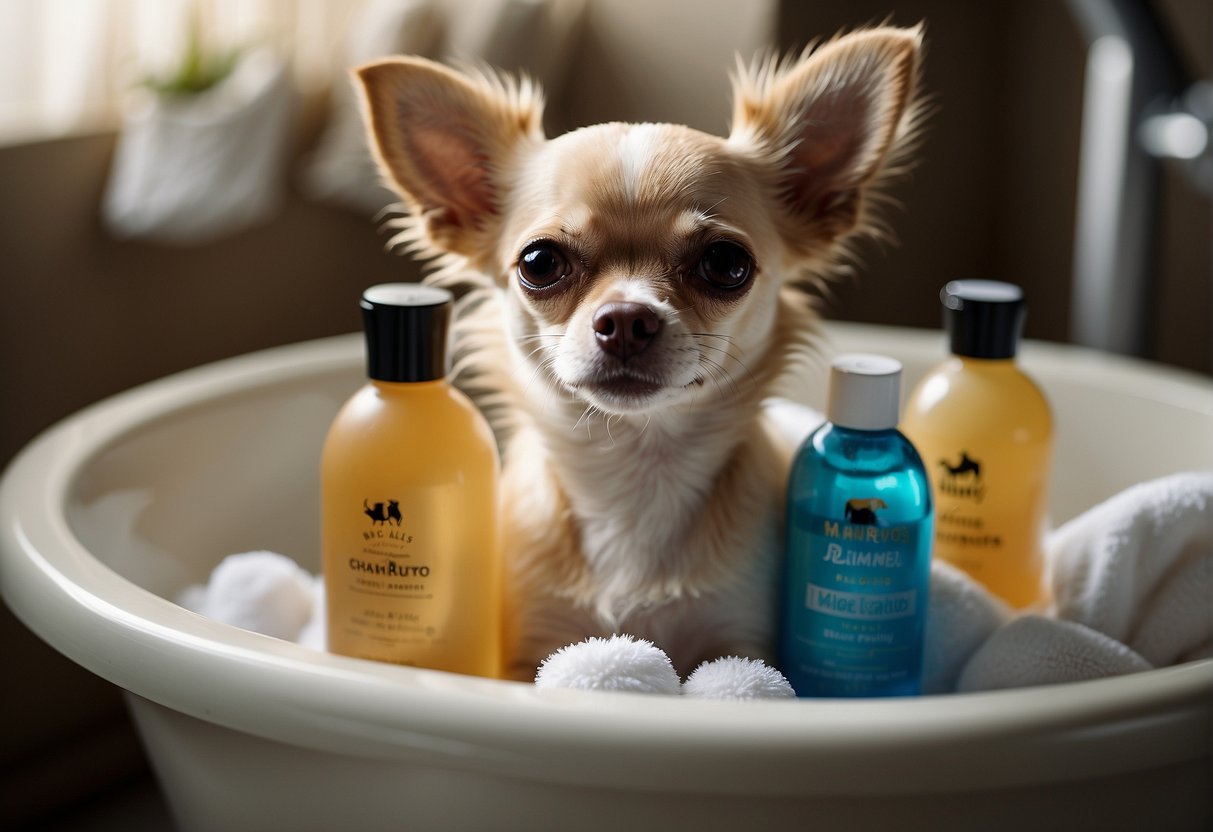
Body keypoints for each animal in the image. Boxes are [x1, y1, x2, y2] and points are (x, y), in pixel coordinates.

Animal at [354, 27, 921, 684]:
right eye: (539, 262)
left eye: (726, 263)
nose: (626, 319)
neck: (635, 473)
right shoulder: (529, 652)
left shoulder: (742, 645)